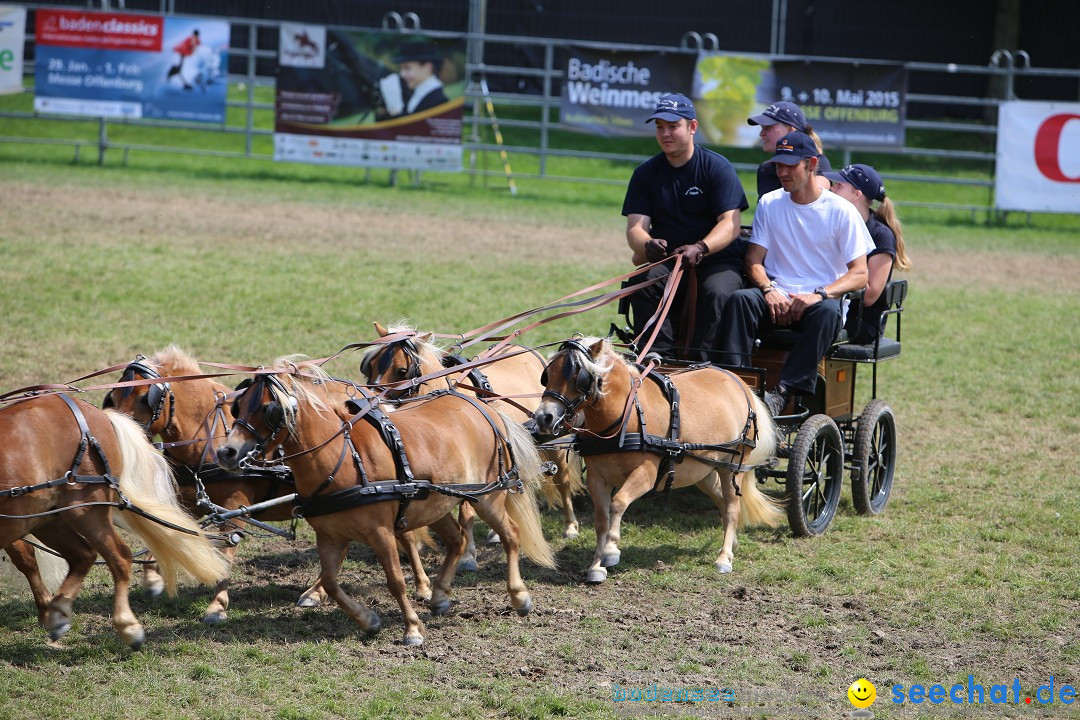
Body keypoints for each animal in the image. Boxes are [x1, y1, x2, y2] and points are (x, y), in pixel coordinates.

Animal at [0, 395, 225, 647]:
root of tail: (99, 414)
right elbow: (26, 559)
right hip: (46, 518)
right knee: (83, 555)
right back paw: (59, 613)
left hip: (87, 509)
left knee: (119, 556)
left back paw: (127, 626)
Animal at [219, 360, 557, 647]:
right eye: (238, 405)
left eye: (268, 409)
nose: (227, 452)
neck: (341, 458)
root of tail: (483, 408)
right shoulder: (329, 535)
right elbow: (330, 581)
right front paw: (367, 620)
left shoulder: (380, 532)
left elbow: (395, 581)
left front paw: (412, 629)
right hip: (436, 505)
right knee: (457, 540)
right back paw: (440, 595)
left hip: (487, 496)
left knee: (510, 534)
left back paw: (519, 596)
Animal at [360, 325, 583, 569]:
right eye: (369, 366)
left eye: (401, 370)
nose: (372, 400)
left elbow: (465, 513)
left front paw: (467, 555)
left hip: (554, 439)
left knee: (563, 481)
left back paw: (570, 526)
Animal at [533, 334, 781, 582]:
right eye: (547, 375)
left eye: (579, 377)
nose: (544, 417)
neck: (626, 416)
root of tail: (739, 383)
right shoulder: (597, 479)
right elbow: (601, 521)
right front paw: (596, 566)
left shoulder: (646, 474)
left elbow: (618, 503)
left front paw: (611, 551)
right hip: (705, 471)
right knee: (723, 502)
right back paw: (733, 543)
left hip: (732, 467)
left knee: (731, 507)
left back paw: (724, 558)